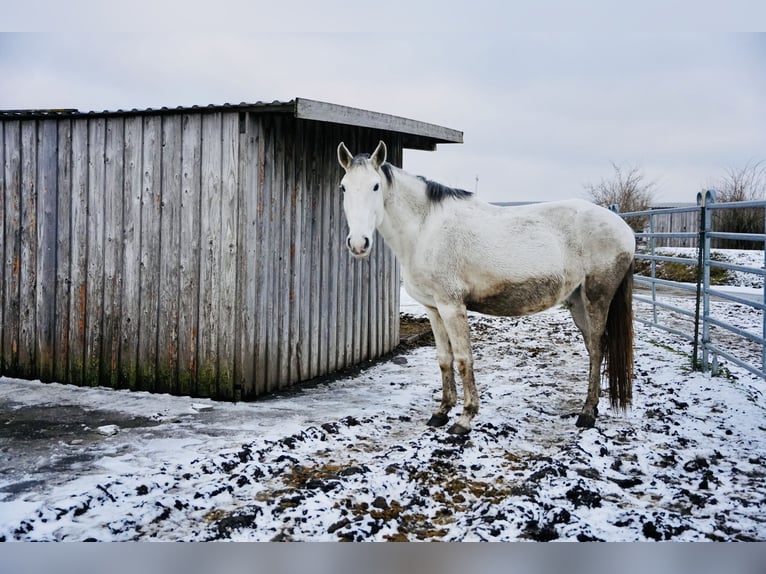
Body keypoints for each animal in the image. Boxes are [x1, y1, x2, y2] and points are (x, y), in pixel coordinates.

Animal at [340, 141, 640, 436]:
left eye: (375, 186)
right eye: (343, 186)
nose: (358, 244)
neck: (426, 229)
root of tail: (624, 228)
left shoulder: (452, 307)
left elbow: (464, 359)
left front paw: (464, 419)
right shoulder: (433, 309)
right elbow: (444, 359)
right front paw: (441, 412)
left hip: (597, 298)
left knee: (598, 348)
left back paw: (587, 414)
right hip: (577, 301)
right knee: (592, 348)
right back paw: (591, 409)